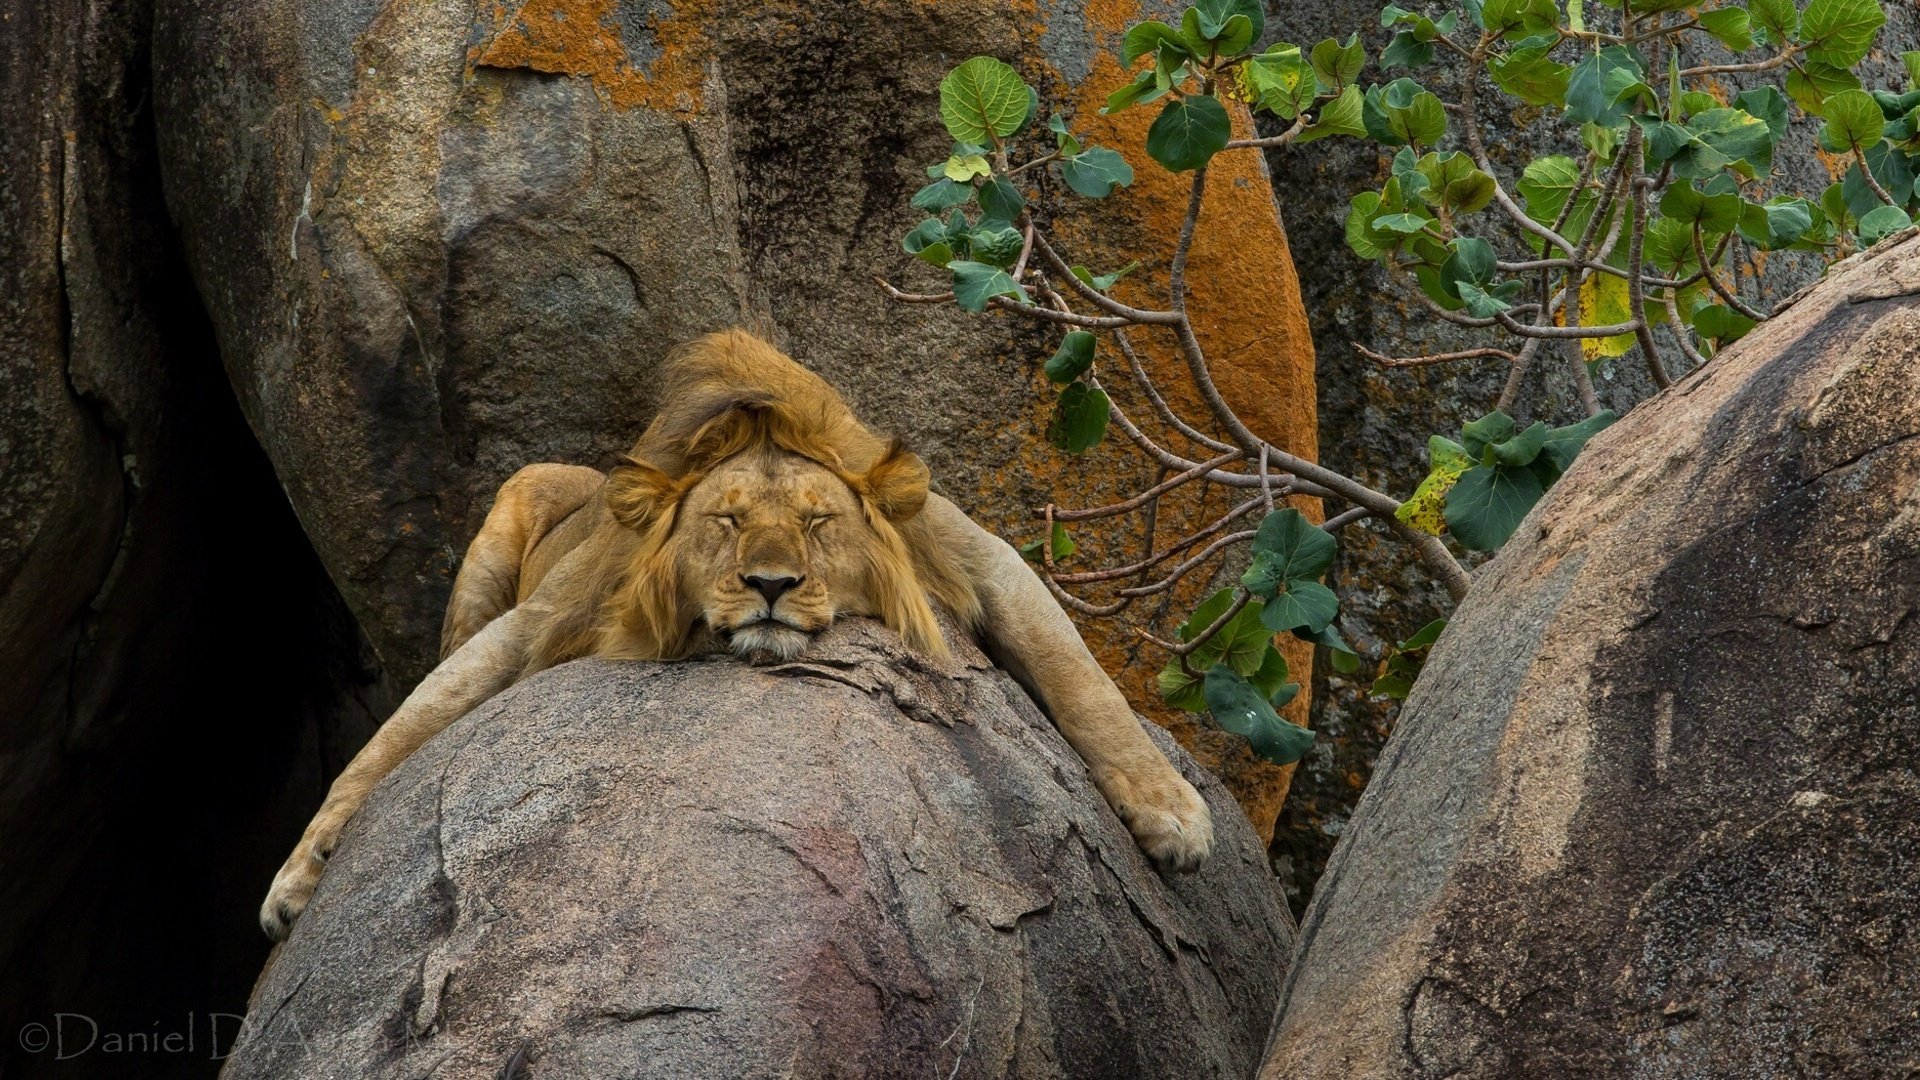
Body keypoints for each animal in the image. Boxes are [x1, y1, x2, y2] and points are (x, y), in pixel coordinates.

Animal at [260, 329, 1213, 941]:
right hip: (511, 507)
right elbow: (394, 738)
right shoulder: (533, 626)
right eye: (726, 520)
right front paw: (299, 876)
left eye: (819, 522)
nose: (770, 586)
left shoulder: (983, 560)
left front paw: (1172, 813)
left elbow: (1083, 681)